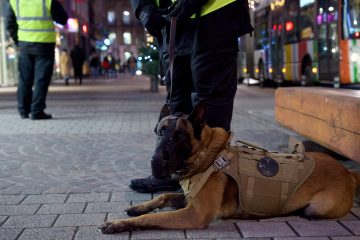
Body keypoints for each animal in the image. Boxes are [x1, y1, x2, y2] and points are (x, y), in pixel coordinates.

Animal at [100, 101, 360, 234]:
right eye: (160, 132)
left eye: (180, 136)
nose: (155, 162)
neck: (205, 154)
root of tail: (347, 171)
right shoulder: (188, 199)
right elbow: (163, 196)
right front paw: (139, 207)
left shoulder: (195, 214)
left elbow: (153, 218)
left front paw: (120, 224)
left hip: (317, 209)